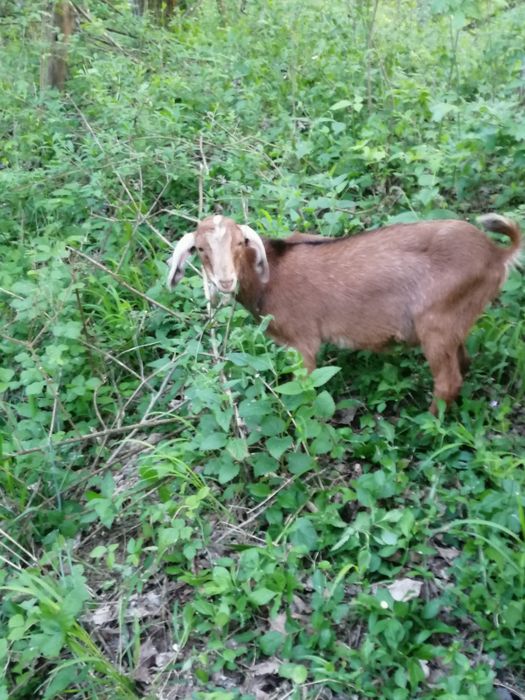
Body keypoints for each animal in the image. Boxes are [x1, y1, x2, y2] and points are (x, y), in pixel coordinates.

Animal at [167, 214, 521, 413]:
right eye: (200, 249)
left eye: (240, 243)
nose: (225, 281)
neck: (271, 273)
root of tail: (496, 254)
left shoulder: (302, 340)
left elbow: (306, 387)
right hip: (454, 321)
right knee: (463, 362)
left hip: (436, 322)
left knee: (448, 380)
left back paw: (430, 424)